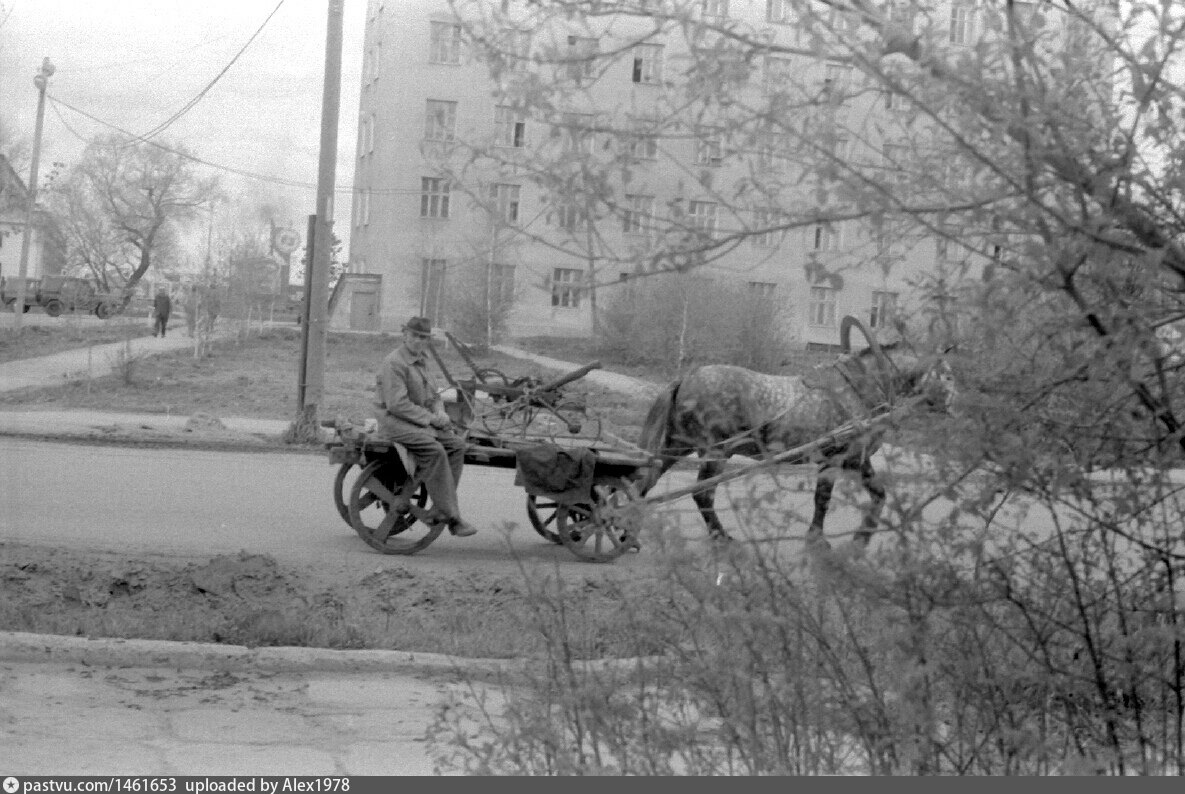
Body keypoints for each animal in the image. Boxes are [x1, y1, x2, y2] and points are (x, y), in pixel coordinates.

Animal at [635, 315, 947, 547]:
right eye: (947, 374)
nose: (950, 407)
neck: (857, 389)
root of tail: (687, 378)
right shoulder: (834, 458)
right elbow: (823, 499)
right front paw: (817, 539)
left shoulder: (856, 460)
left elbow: (879, 494)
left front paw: (863, 537)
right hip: (715, 452)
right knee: (703, 494)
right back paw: (721, 536)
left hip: (676, 445)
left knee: (646, 479)